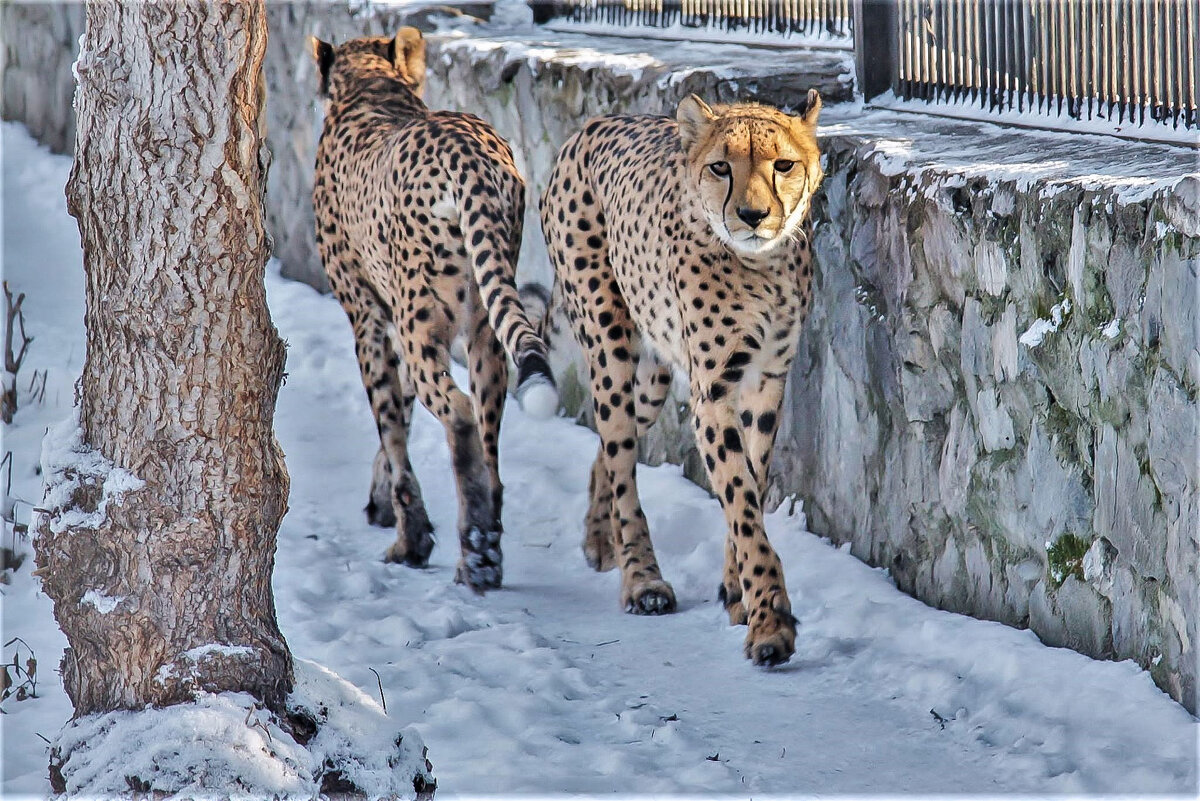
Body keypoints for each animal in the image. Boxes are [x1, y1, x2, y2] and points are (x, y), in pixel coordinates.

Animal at [307, 29, 554, 594]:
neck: (373, 85)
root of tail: (466, 146)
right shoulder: (400, 327)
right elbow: (400, 413)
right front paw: (382, 504)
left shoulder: (371, 321)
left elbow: (392, 426)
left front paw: (409, 538)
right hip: (485, 327)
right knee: (488, 437)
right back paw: (482, 549)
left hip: (425, 324)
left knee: (459, 413)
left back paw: (473, 544)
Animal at [544, 90, 825, 661]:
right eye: (721, 167)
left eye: (783, 165)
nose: (753, 215)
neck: (761, 267)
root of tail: (590, 125)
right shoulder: (712, 390)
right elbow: (740, 499)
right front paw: (770, 622)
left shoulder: (766, 383)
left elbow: (750, 485)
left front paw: (738, 594)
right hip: (609, 346)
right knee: (620, 457)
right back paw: (641, 580)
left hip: (654, 375)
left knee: (609, 449)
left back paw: (599, 538)